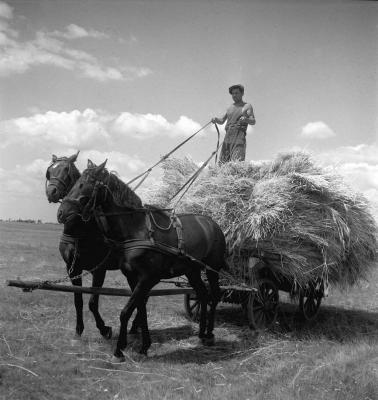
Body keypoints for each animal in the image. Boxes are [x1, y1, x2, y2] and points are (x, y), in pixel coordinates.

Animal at [45, 152, 142, 344]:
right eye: (49, 171)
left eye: (66, 170)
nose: (51, 192)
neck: (80, 231)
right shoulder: (72, 268)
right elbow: (78, 300)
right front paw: (79, 329)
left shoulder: (99, 269)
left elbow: (92, 302)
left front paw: (105, 329)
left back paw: (135, 326)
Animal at [58, 160, 229, 362]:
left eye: (85, 184)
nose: (61, 212)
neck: (137, 230)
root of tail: (213, 224)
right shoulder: (133, 278)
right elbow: (140, 309)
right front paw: (144, 345)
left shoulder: (146, 278)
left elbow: (126, 311)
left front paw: (119, 349)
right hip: (192, 271)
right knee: (202, 295)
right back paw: (202, 333)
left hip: (212, 269)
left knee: (214, 296)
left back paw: (209, 334)